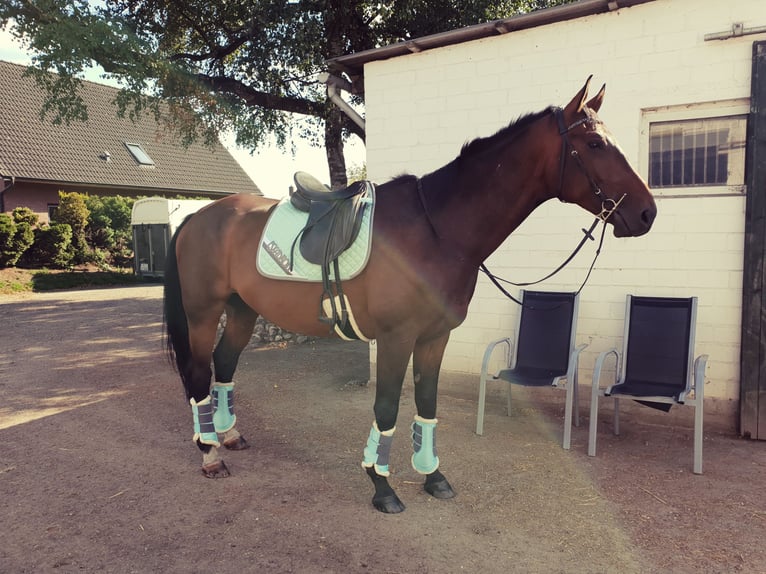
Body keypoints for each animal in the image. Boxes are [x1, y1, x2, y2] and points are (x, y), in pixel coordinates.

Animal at [165, 79, 656, 516]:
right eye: (593, 143)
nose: (647, 213)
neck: (436, 230)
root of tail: (197, 216)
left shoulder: (435, 338)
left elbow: (426, 404)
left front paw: (432, 476)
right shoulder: (396, 338)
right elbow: (387, 407)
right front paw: (381, 486)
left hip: (242, 310)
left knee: (225, 364)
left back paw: (229, 436)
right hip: (203, 312)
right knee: (199, 372)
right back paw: (210, 453)